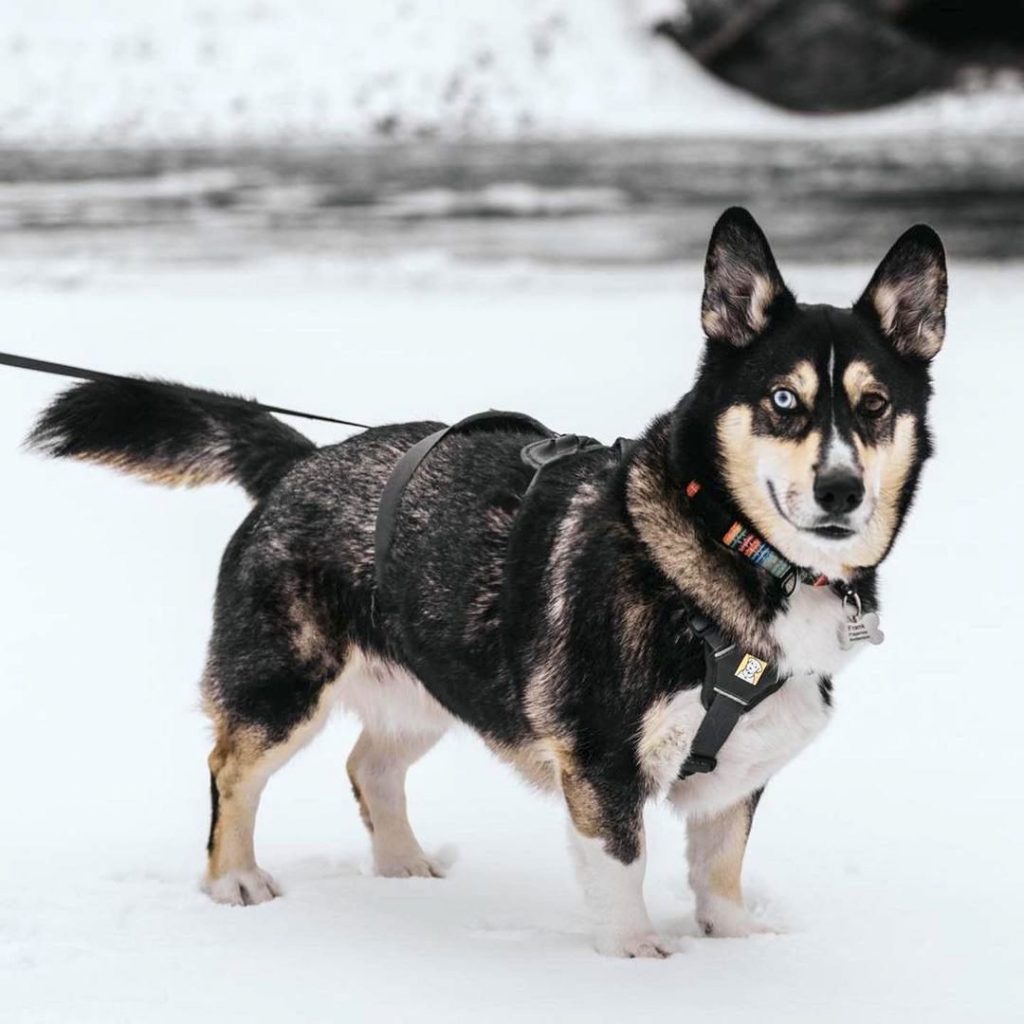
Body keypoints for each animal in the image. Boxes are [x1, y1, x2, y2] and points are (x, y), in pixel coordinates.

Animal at [28, 203, 946, 954]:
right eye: (784, 401)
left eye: (873, 406)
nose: (841, 490)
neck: (733, 547)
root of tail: (299, 460)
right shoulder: (603, 760)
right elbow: (623, 866)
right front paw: (639, 962)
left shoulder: (737, 773)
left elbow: (719, 871)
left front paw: (740, 947)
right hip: (284, 685)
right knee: (231, 769)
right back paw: (234, 882)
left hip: (434, 683)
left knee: (370, 766)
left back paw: (403, 866)